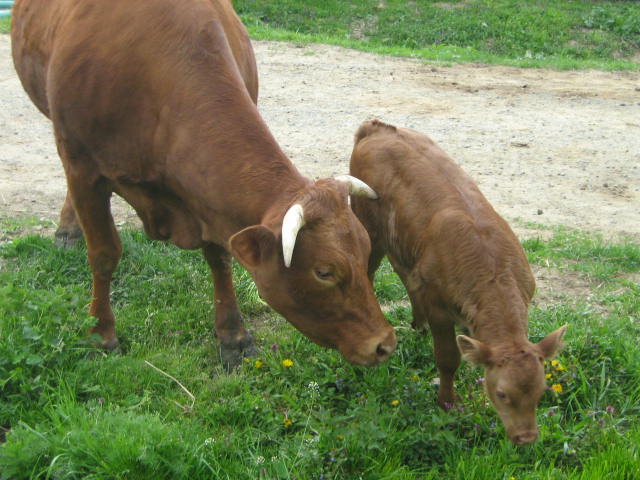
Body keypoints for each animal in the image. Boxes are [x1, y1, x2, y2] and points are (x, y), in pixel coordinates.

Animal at [12, 0, 398, 368]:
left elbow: (220, 257)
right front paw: (101, 335)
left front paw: (233, 336)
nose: (383, 343)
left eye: (366, 251)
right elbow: (105, 254)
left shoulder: (211, 202)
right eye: (324, 271)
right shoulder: (83, 166)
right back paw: (68, 230)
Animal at [350, 121, 564, 446]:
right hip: (368, 224)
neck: (491, 272)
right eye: (502, 393)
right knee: (369, 270)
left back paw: (418, 323)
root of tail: (377, 127)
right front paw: (447, 402)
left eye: (541, 392)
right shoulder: (439, 306)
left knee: (403, 272)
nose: (526, 437)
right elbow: (448, 357)